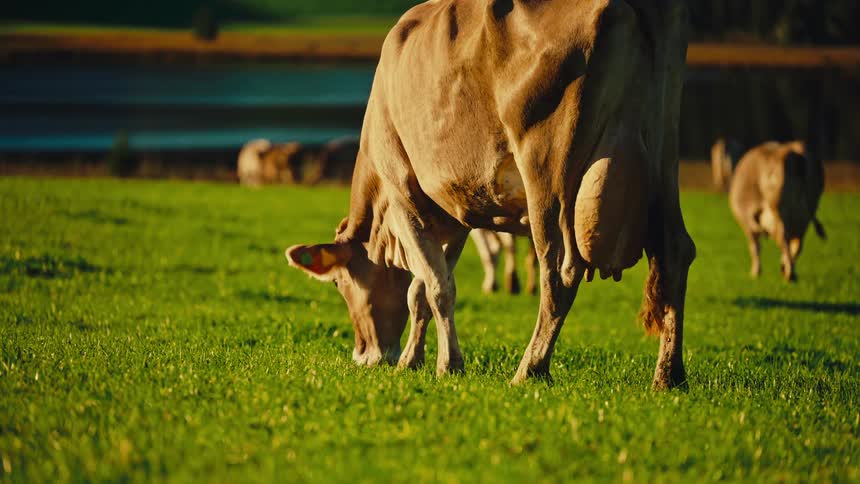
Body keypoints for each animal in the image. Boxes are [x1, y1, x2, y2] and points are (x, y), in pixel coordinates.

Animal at [285, 0, 695, 390]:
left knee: (560, 273)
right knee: (674, 252)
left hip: (548, 174)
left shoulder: (404, 195)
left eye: (338, 283)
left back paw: (530, 369)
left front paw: (448, 365)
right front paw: (412, 359)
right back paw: (668, 376)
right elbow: (421, 290)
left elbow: (437, 288)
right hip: (663, 161)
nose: (364, 356)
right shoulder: (454, 215)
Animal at [729, 141, 826, 282]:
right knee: (797, 244)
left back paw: (789, 275)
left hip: (780, 212)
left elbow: (755, 247)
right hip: (806, 213)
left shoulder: (746, 221)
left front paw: (755, 273)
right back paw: (789, 272)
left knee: (783, 240)